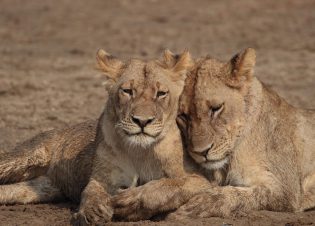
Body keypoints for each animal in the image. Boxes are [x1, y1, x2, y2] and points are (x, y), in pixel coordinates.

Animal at [0, 49, 212, 224]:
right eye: (127, 91)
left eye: (161, 93)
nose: (142, 121)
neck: (139, 151)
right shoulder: (102, 178)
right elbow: (90, 192)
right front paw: (92, 212)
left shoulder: (200, 179)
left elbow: (168, 185)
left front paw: (131, 201)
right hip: (25, 157)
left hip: (43, 187)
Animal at [112, 48, 315, 221]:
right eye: (183, 115)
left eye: (216, 108)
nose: (202, 152)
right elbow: (177, 183)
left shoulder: (286, 190)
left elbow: (234, 194)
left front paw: (193, 207)